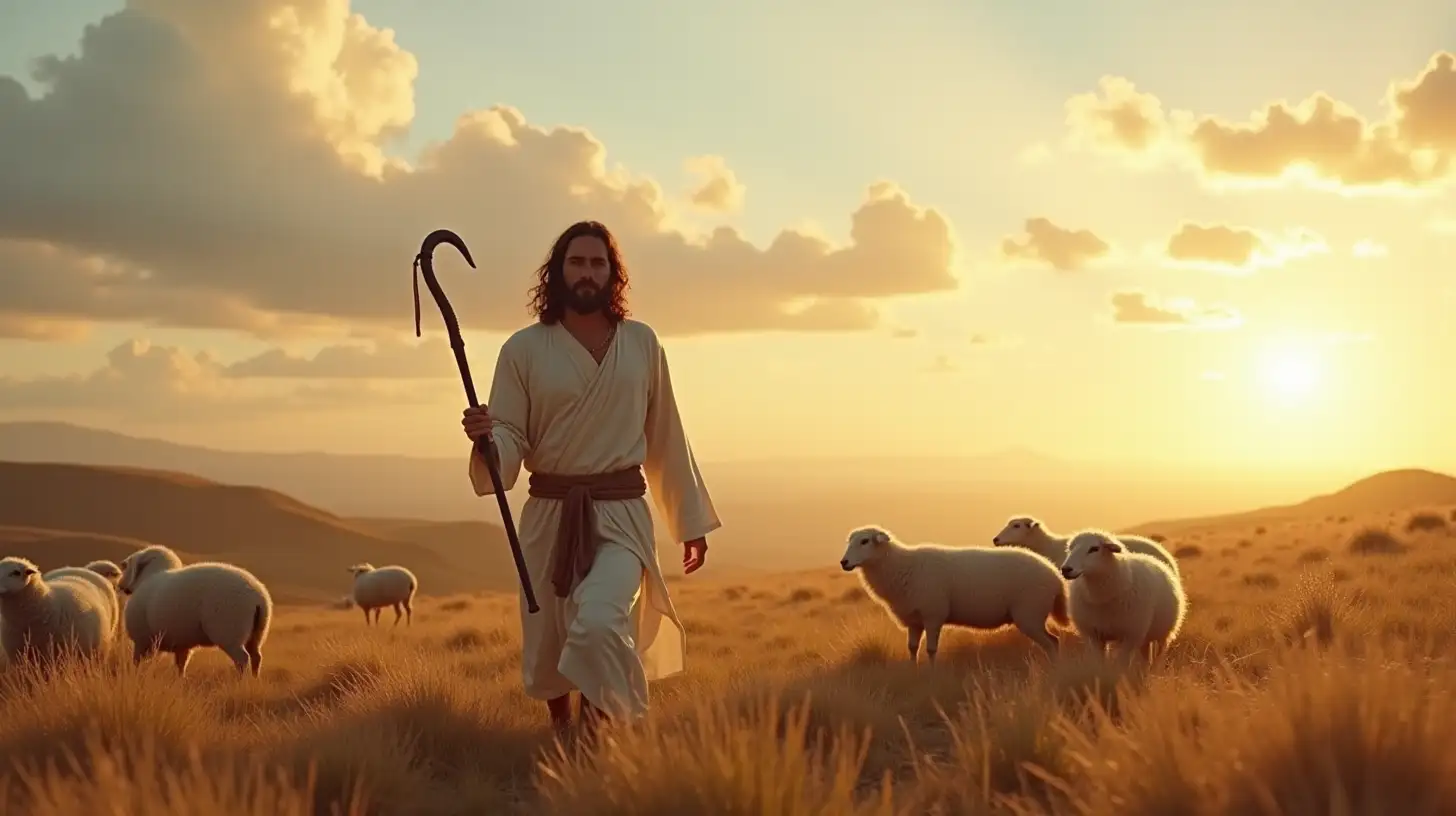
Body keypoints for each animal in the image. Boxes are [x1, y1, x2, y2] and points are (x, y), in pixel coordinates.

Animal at [116, 547, 273, 676]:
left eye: (126, 566)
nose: (119, 585)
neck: (148, 577)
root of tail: (257, 598)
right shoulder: (182, 644)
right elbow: (181, 666)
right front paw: (179, 682)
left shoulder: (141, 641)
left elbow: (137, 664)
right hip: (257, 633)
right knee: (256, 657)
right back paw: (254, 680)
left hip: (230, 632)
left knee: (243, 659)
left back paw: (242, 682)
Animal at [844, 521, 1071, 664]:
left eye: (865, 541)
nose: (843, 562)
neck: (900, 565)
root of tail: (1054, 575)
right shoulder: (914, 620)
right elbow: (912, 648)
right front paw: (913, 672)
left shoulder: (933, 615)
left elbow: (931, 650)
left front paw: (932, 675)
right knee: (1053, 642)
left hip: (1030, 614)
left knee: (1052, 643)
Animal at [1065, 524, 1188, 667]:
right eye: (1071, 548)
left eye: (1094, 548)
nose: (1066, 569)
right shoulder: (1095, 636)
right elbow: (1099, 665)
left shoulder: (1130, 636)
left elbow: (1121, 664)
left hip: (1163, 633)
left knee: (1158, 656)